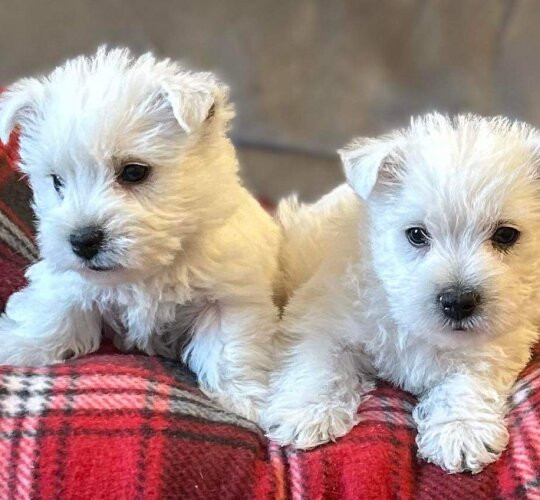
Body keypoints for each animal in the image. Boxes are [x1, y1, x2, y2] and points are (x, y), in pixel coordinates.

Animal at [0, 47, 280, 422]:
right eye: (57, 181)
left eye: (134, 172)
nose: (82, 241)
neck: (151, 266)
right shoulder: (70, 281)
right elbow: (53, 314)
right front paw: (17, 344)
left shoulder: (230, 295)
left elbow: (229, 348)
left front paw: (248, 400)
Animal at [264, 113, 540, 472]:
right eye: (416, 234)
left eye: (506, 235)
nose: (457, 302)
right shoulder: (322, 315)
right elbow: (318, 360)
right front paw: (307, 411)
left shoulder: (501, 341)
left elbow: (469, 378)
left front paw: (460, 430)